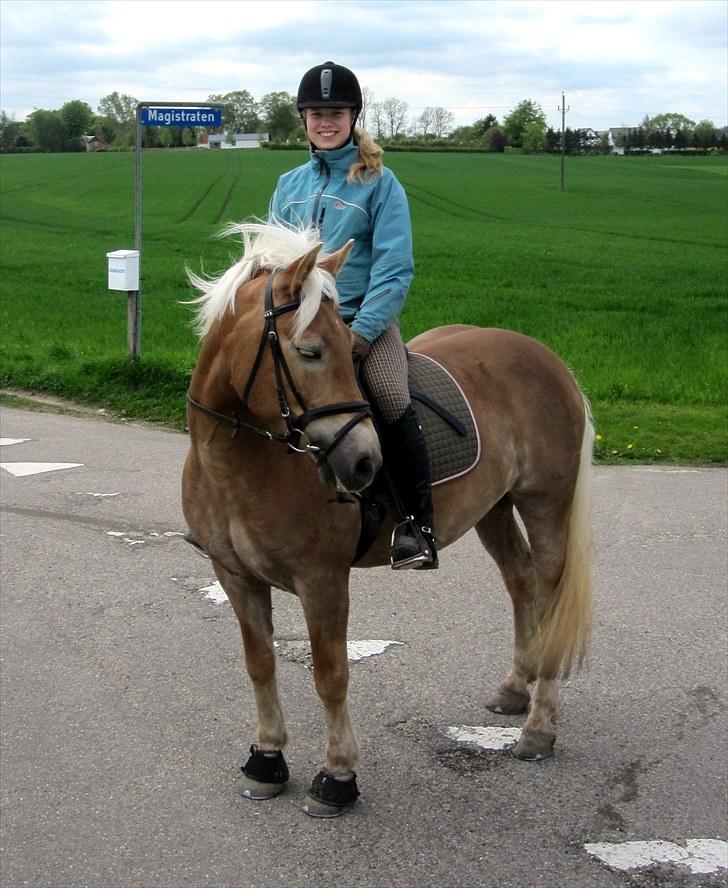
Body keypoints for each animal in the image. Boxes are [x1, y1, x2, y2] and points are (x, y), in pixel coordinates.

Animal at [181, 222, 592, 820]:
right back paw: (516, 689)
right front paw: (267, 760)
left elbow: (330, 675)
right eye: (308, 351)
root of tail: (548, 358)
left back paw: (539, 730)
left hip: (545, 505)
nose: (363, 464)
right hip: (494, 510)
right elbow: (260, 665)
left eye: (345, 347)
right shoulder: (235, 576)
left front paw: (337, 777)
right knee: (522, 584)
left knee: (549, 595)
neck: (240, 465)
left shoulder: (323, 581)